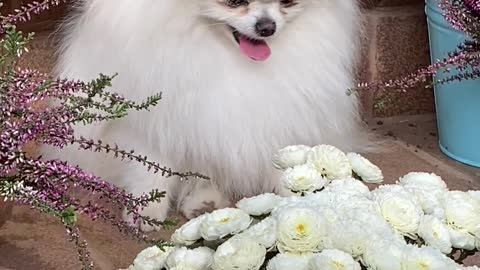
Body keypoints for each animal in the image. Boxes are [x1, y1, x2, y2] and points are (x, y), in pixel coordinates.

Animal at [42, 0, 372, 231]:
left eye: (288, 2)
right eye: (234, 1)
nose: (267, 26)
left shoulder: (276, 116)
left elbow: (282, 164)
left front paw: (295, 201)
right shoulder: (156, 117)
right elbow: (152, 167)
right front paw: (146, 210)